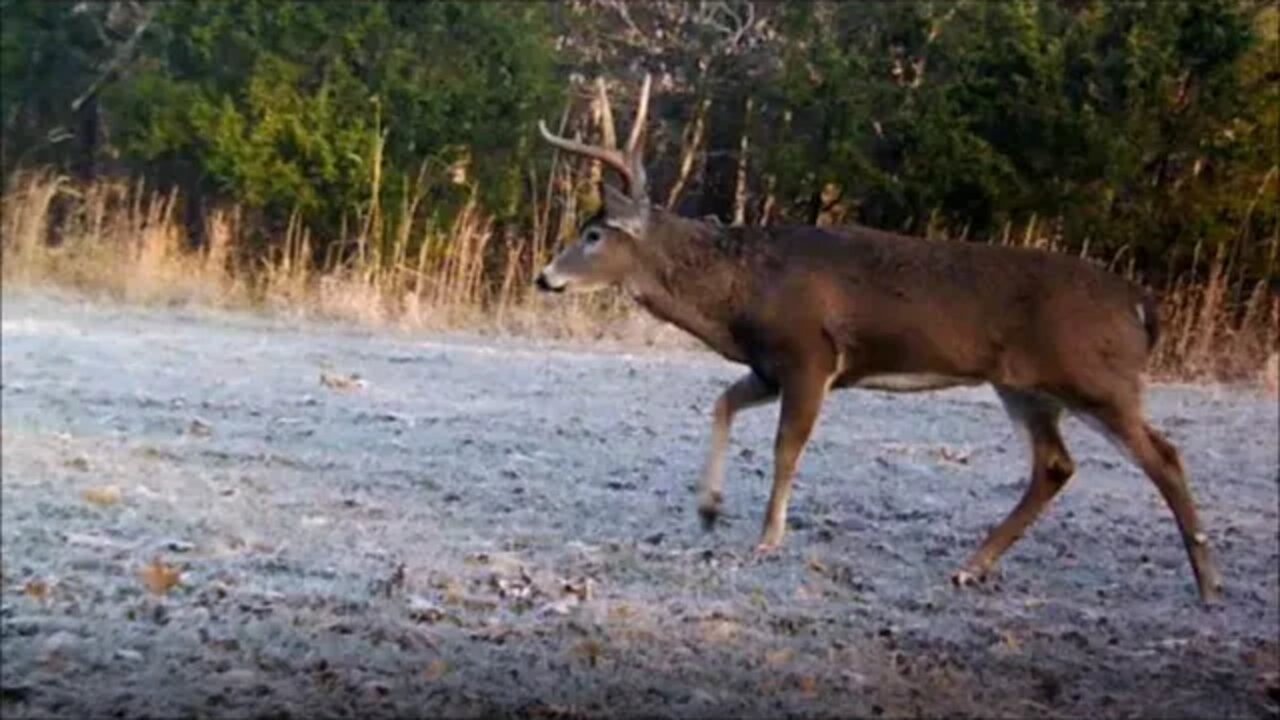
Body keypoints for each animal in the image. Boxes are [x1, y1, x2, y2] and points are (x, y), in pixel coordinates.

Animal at [529, 74, 1218, 599]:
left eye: (594, 233)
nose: (544, 276)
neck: (743, 290)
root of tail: (1140, 304)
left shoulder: (812, 354)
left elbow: (786, 448)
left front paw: (767, 538)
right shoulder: (770, 363)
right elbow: (722, 404)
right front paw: (708, 508)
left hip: (1095, 376)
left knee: (1163, 455)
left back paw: (1208, 582)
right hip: (1026, 386)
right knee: (1055, 464)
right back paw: (971, 568)